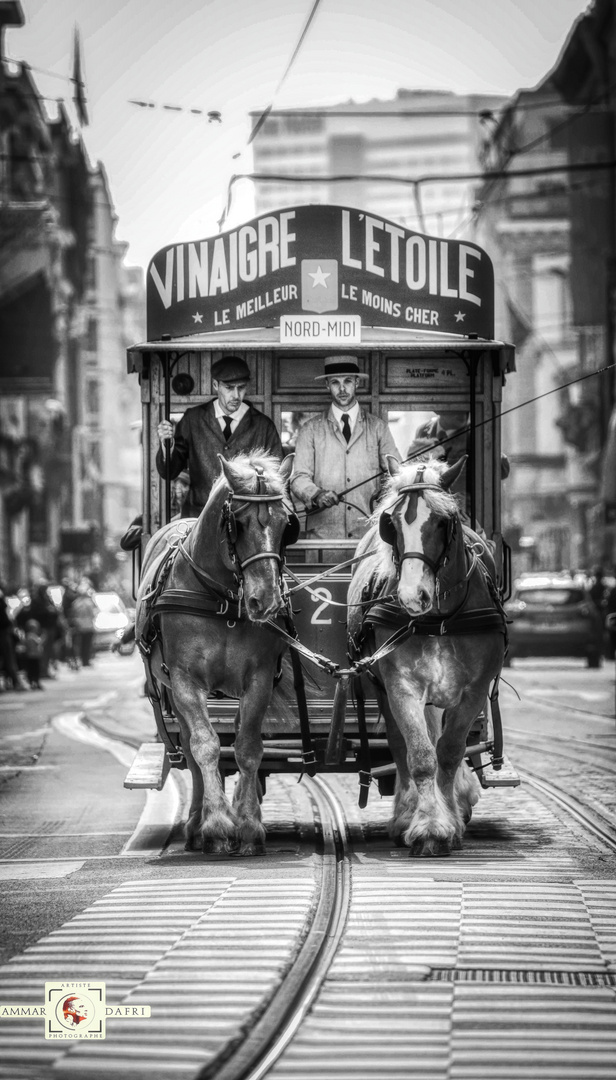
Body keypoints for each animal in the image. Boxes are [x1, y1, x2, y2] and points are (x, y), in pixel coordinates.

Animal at [136, 451, 298, 855]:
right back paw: (198, 824)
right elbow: (206, 747)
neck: (221, 598)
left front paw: (249, 825)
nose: (266, 601)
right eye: (236, 523)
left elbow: (247, 747)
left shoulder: (258, 679)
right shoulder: (184, 681)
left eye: (287, 523)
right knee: (191, 749)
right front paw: (218, 825)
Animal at [350, 453, 503, 851]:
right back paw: (406, 814)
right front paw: (428, 825)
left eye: (443, 522)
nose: (411, 596)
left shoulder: (473, 691)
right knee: (399, 746)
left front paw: (449, 821)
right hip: (384, 690)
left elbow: (449, 752)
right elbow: (419, 754)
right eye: (391, 523)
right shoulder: (400, 686)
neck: (438, 620)